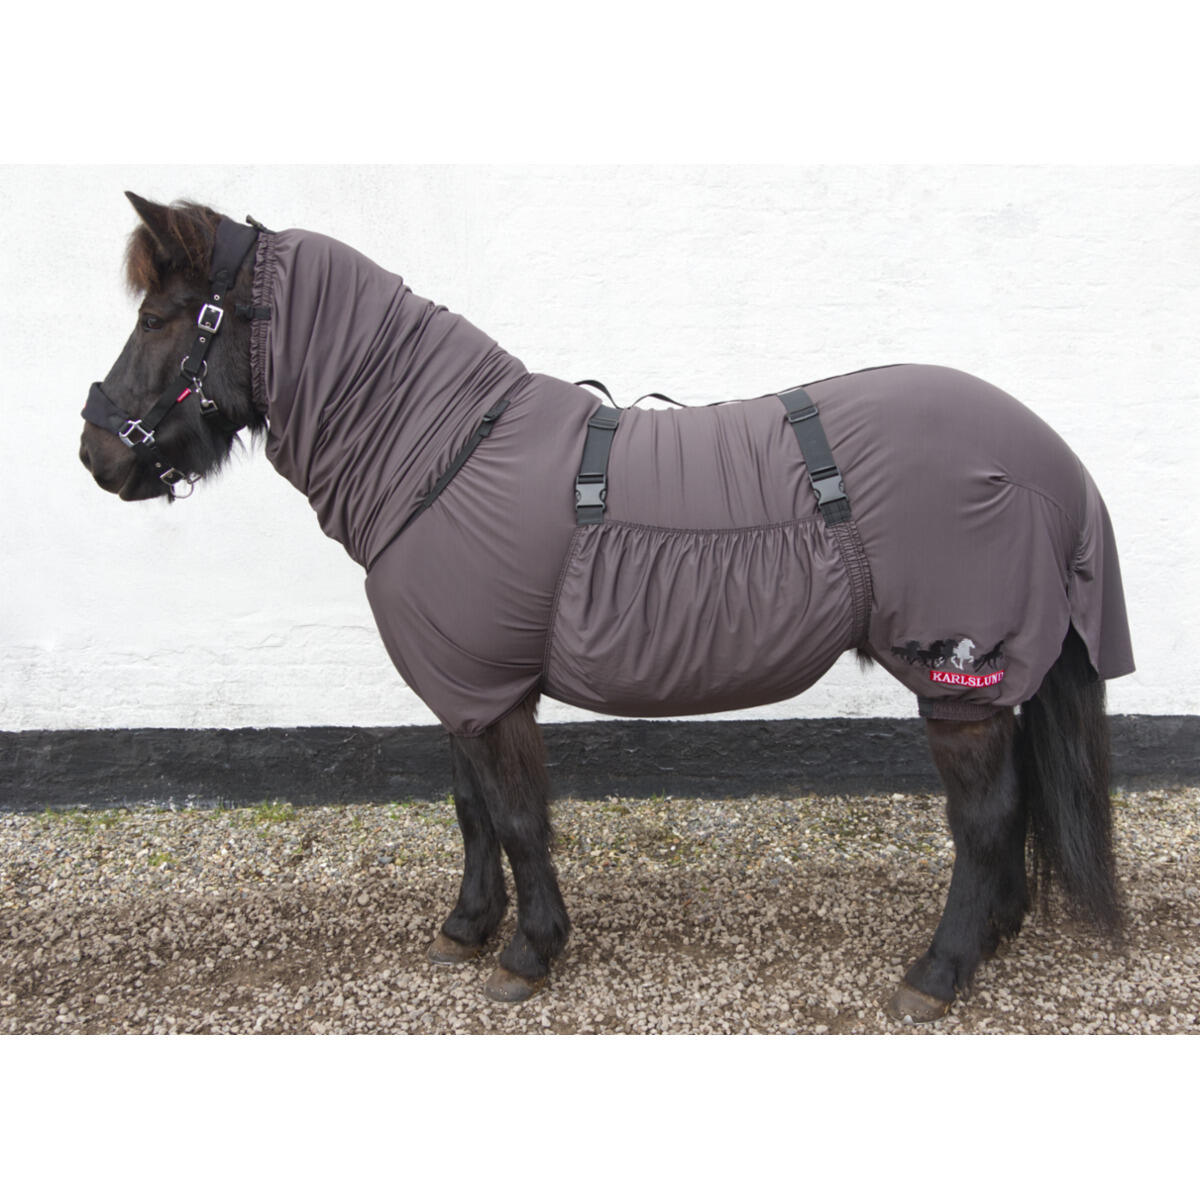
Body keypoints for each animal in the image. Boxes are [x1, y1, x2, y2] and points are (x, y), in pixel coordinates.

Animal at [78, 193, 1135, 1022]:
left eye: (165, 318)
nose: (97, 455)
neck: (441, 451)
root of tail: (1049, 456)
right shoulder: (467, 684)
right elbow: (470, 811)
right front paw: (466, 926)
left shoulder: (492, 694)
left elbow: (515, 817)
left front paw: (528, 951)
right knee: (1012, 807)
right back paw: (993, 936)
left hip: (958, 675)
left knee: (986, 817)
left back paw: (939, 971)